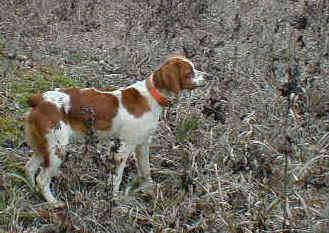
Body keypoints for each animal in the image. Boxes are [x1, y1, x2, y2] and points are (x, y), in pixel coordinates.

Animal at [25, 54, 205, 206]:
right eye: (189, 72)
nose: (207, 76)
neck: (151, 96)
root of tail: (40, 99)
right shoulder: (122, 149)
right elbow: (116, 179)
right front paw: (115, 201)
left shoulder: (143, 144)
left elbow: (146, 170)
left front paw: (149, 189)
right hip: (58, 149)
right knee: (42, 179)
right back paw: (54, 203)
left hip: (43, 147)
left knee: (29, 169)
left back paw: (33, 192)